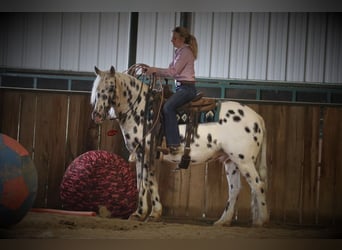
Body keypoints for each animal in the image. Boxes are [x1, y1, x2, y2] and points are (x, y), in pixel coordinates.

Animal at [91, 66, 270, 227]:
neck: (142, 109)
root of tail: (258, 118)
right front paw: (151, 214)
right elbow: (149, 182)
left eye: (111, 86)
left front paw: (142, 213)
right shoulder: (147, 155)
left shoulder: (144, 153)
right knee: (235, 189)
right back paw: (223, 221)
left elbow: (144, 182)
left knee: (258, 184)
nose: (97, 115)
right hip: (231, 161)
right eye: (96, 89)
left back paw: (261, 221)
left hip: (244, 160)